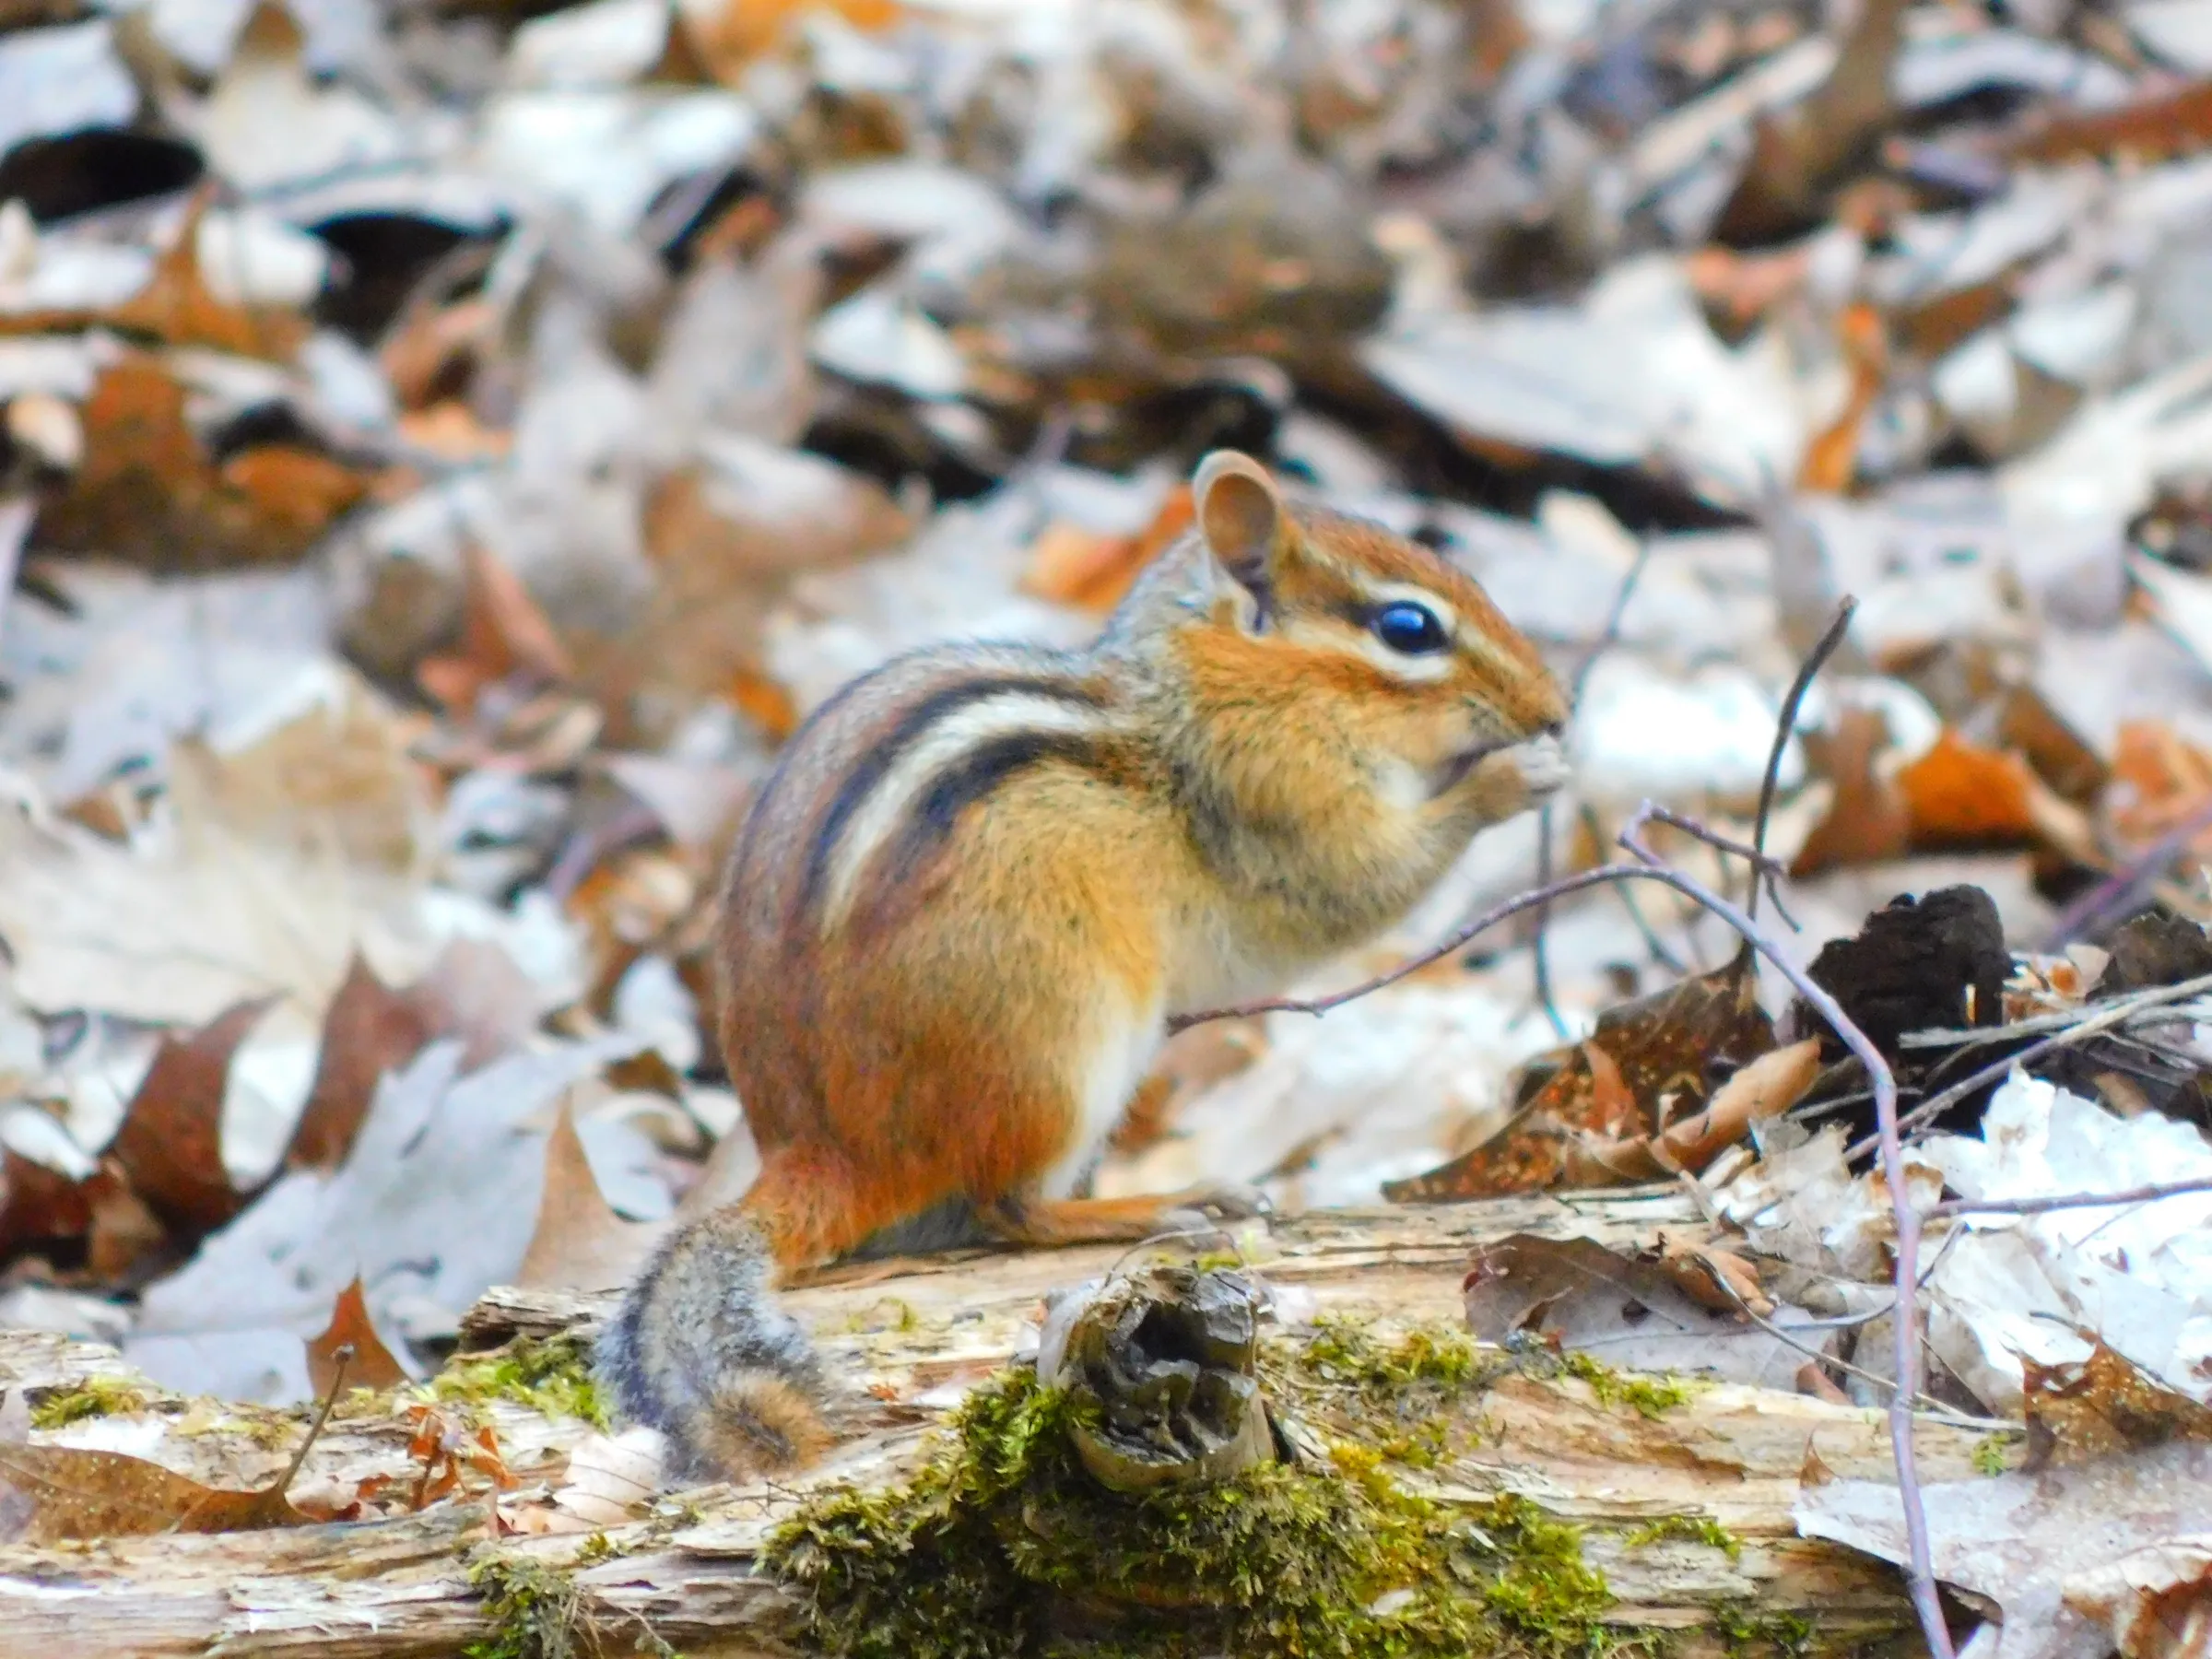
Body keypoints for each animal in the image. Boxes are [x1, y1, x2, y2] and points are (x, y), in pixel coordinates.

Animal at [596, 450, 1570, 1482]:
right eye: (1408, 628)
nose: (1556, 708)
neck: (1209, 684)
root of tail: (823, 1150)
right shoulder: (1280, 800)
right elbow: (1359, 883)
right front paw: (1514, 778)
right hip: (1061, 1044)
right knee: (1009, 1208)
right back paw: (1164, 1205)